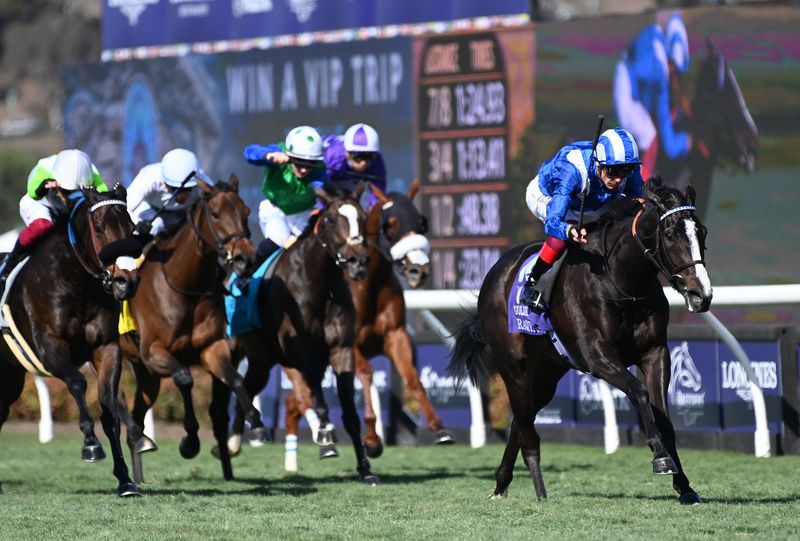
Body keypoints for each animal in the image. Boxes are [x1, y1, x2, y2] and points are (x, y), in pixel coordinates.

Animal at [0, 185, 142, 494]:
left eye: (132, 228)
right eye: (99, 228)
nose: (126, 281)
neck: (77, 285)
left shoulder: (106, 347)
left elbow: (109, 407)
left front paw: (125, 479)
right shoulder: (48, 346)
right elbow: (77, 382)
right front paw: (90, 445)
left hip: (10, 375)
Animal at [119, 176, 262, 480]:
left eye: (246, 211)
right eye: (216, 214)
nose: (245, 258)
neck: (185, 286)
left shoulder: (212, 348)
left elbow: (234, 379)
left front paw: (255, 423)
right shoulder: (154, 351)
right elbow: (185, 379)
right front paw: (190, 442)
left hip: (146, 375)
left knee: (136, 412)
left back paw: (139, 460)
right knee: (116, 399)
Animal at [450, 179, 712, 504]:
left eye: (701, 232)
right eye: (670, 234)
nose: (701, 294)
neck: (622, 282)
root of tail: (495, 273)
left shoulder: (655, 352)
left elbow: (664, 417)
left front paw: (685, 486)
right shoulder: (598, 356)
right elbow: (639, 393)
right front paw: (660, 457)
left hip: (547, 374)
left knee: (521, 420)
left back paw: (501, 482)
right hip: (513, 366)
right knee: (526, 425)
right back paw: (539, 491)